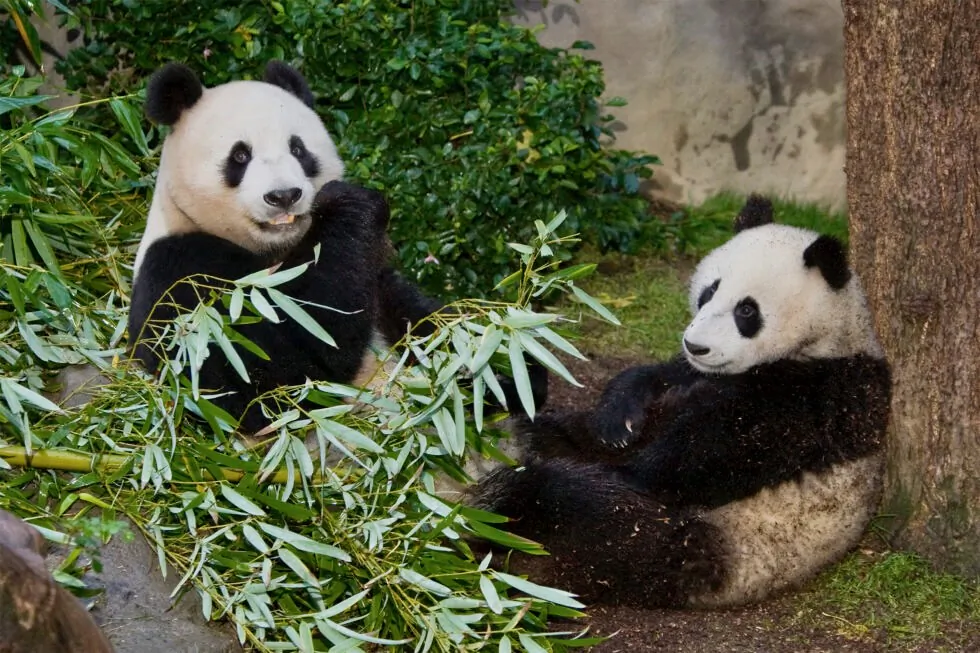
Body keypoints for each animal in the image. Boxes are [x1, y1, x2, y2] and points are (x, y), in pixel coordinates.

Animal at [128, 60, 446, 435]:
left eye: (298, 149)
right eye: (240, 155)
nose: (283, 196)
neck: (277, 249)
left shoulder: (378, 281)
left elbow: (427, 323)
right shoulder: (179, 273)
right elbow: (265, 380)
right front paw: (350, 204)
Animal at [472, 195, 893, 609]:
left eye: (747, 310)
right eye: (709, 291)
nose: (696, 345)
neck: (828, 337)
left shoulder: (827, 391)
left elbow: (717, 451)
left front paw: (631, 470)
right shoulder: (695, 373)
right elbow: (652, 380)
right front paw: (617, 421)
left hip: (687, 544)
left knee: (578, 511)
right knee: (554, 434)